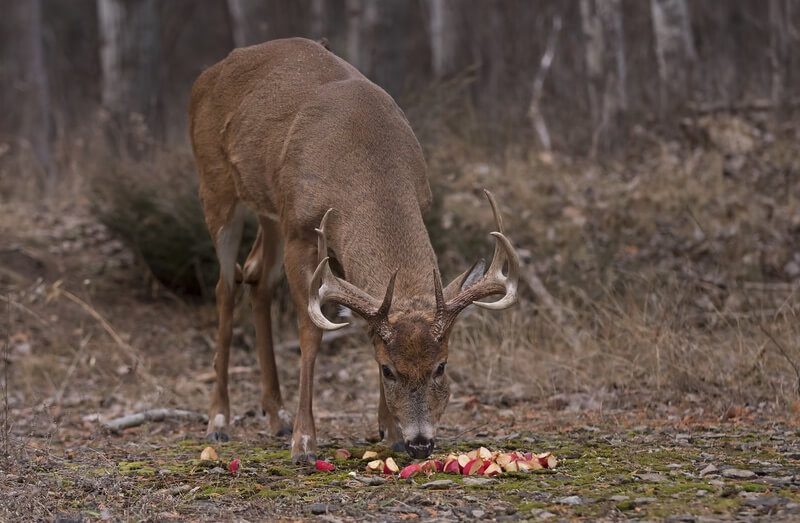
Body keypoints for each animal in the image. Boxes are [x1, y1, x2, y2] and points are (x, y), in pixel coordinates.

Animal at [191, 36, 520, 464]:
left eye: (441, 366)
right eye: (388, 371)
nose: (421, 443)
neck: (364, 154)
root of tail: (206, 75)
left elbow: (368, 323)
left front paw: (389, 431)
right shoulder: (301, 232)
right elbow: (311, 331)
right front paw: (304, 442)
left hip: (269, 208)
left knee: (256, 275)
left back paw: (276, 415)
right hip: (216, 187)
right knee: (225, 285)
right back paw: (219, 420)